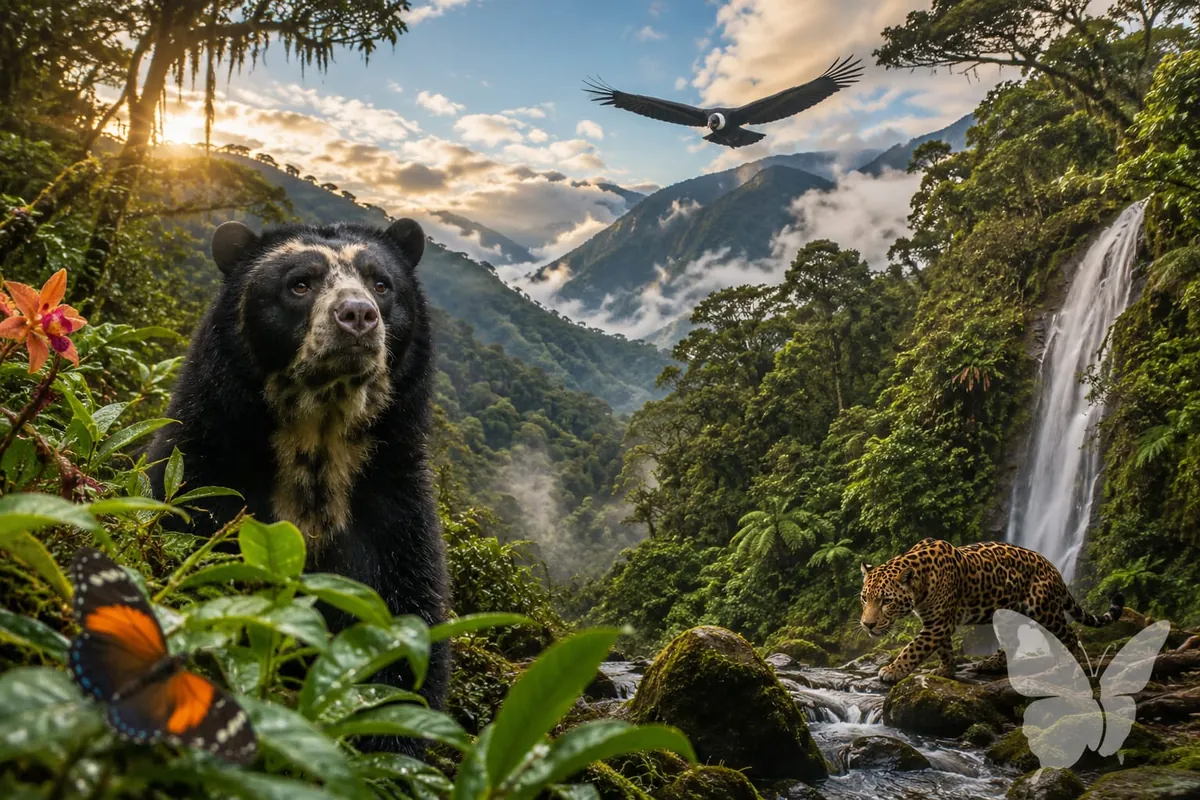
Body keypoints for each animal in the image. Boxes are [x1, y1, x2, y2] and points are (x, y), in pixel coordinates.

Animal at [144, 218, 450, 754]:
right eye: (300, 284)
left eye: (381, 284)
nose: (358, 316)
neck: (318, 444)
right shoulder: (206, 467)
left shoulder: (394, 513)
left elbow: (402, 634)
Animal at [859, 538, 1125, 684]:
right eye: (864, 599)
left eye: (886, 601)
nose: (867, 624)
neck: (920, 583)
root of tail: (1053, 566)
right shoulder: (936, 622)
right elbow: (944, 649)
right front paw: (946, 670)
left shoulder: (938, 623)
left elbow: (912, 649)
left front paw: (892, 670)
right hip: (1008, 615)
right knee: (1013, 642)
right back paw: (990, 663)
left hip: (1044, 609)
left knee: (1069, 635)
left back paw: (1072, 665)